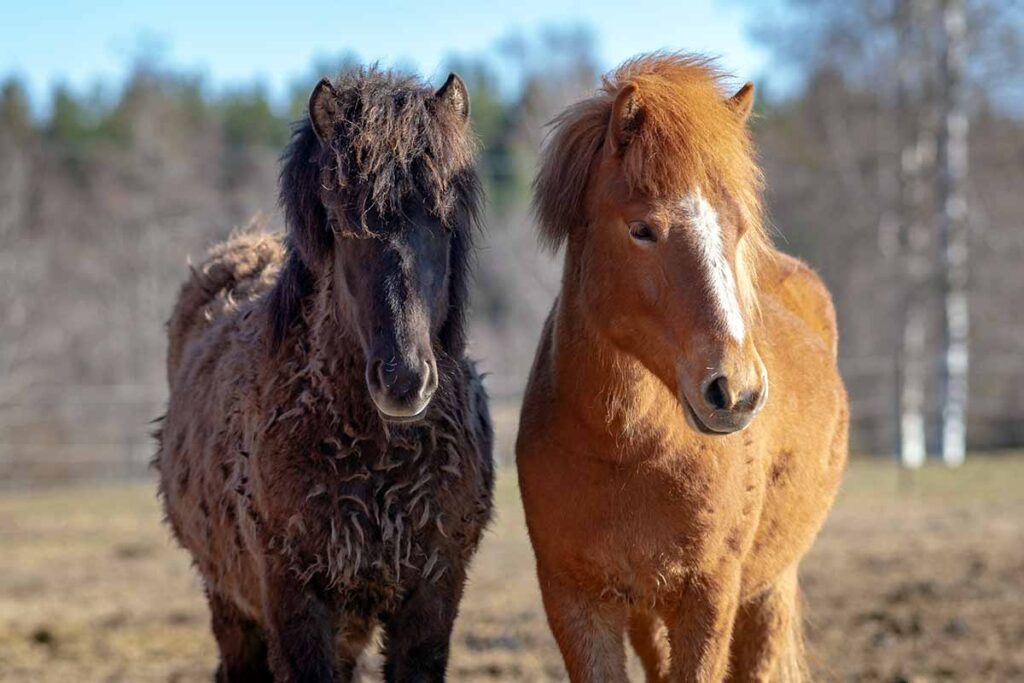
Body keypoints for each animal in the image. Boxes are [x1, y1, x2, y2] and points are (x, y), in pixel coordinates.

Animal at [155, 68, 495, 683]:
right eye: (342, 226)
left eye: (443, 220)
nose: (404, 380)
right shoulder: (294, 601)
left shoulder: (433, 597)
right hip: (231, 606)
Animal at [520, 54, 847, 683]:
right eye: (642, 228)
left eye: (738, 229)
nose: (737, 392)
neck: (629, 450)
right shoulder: (576, 602)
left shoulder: (708, 600)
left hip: (768, 589)